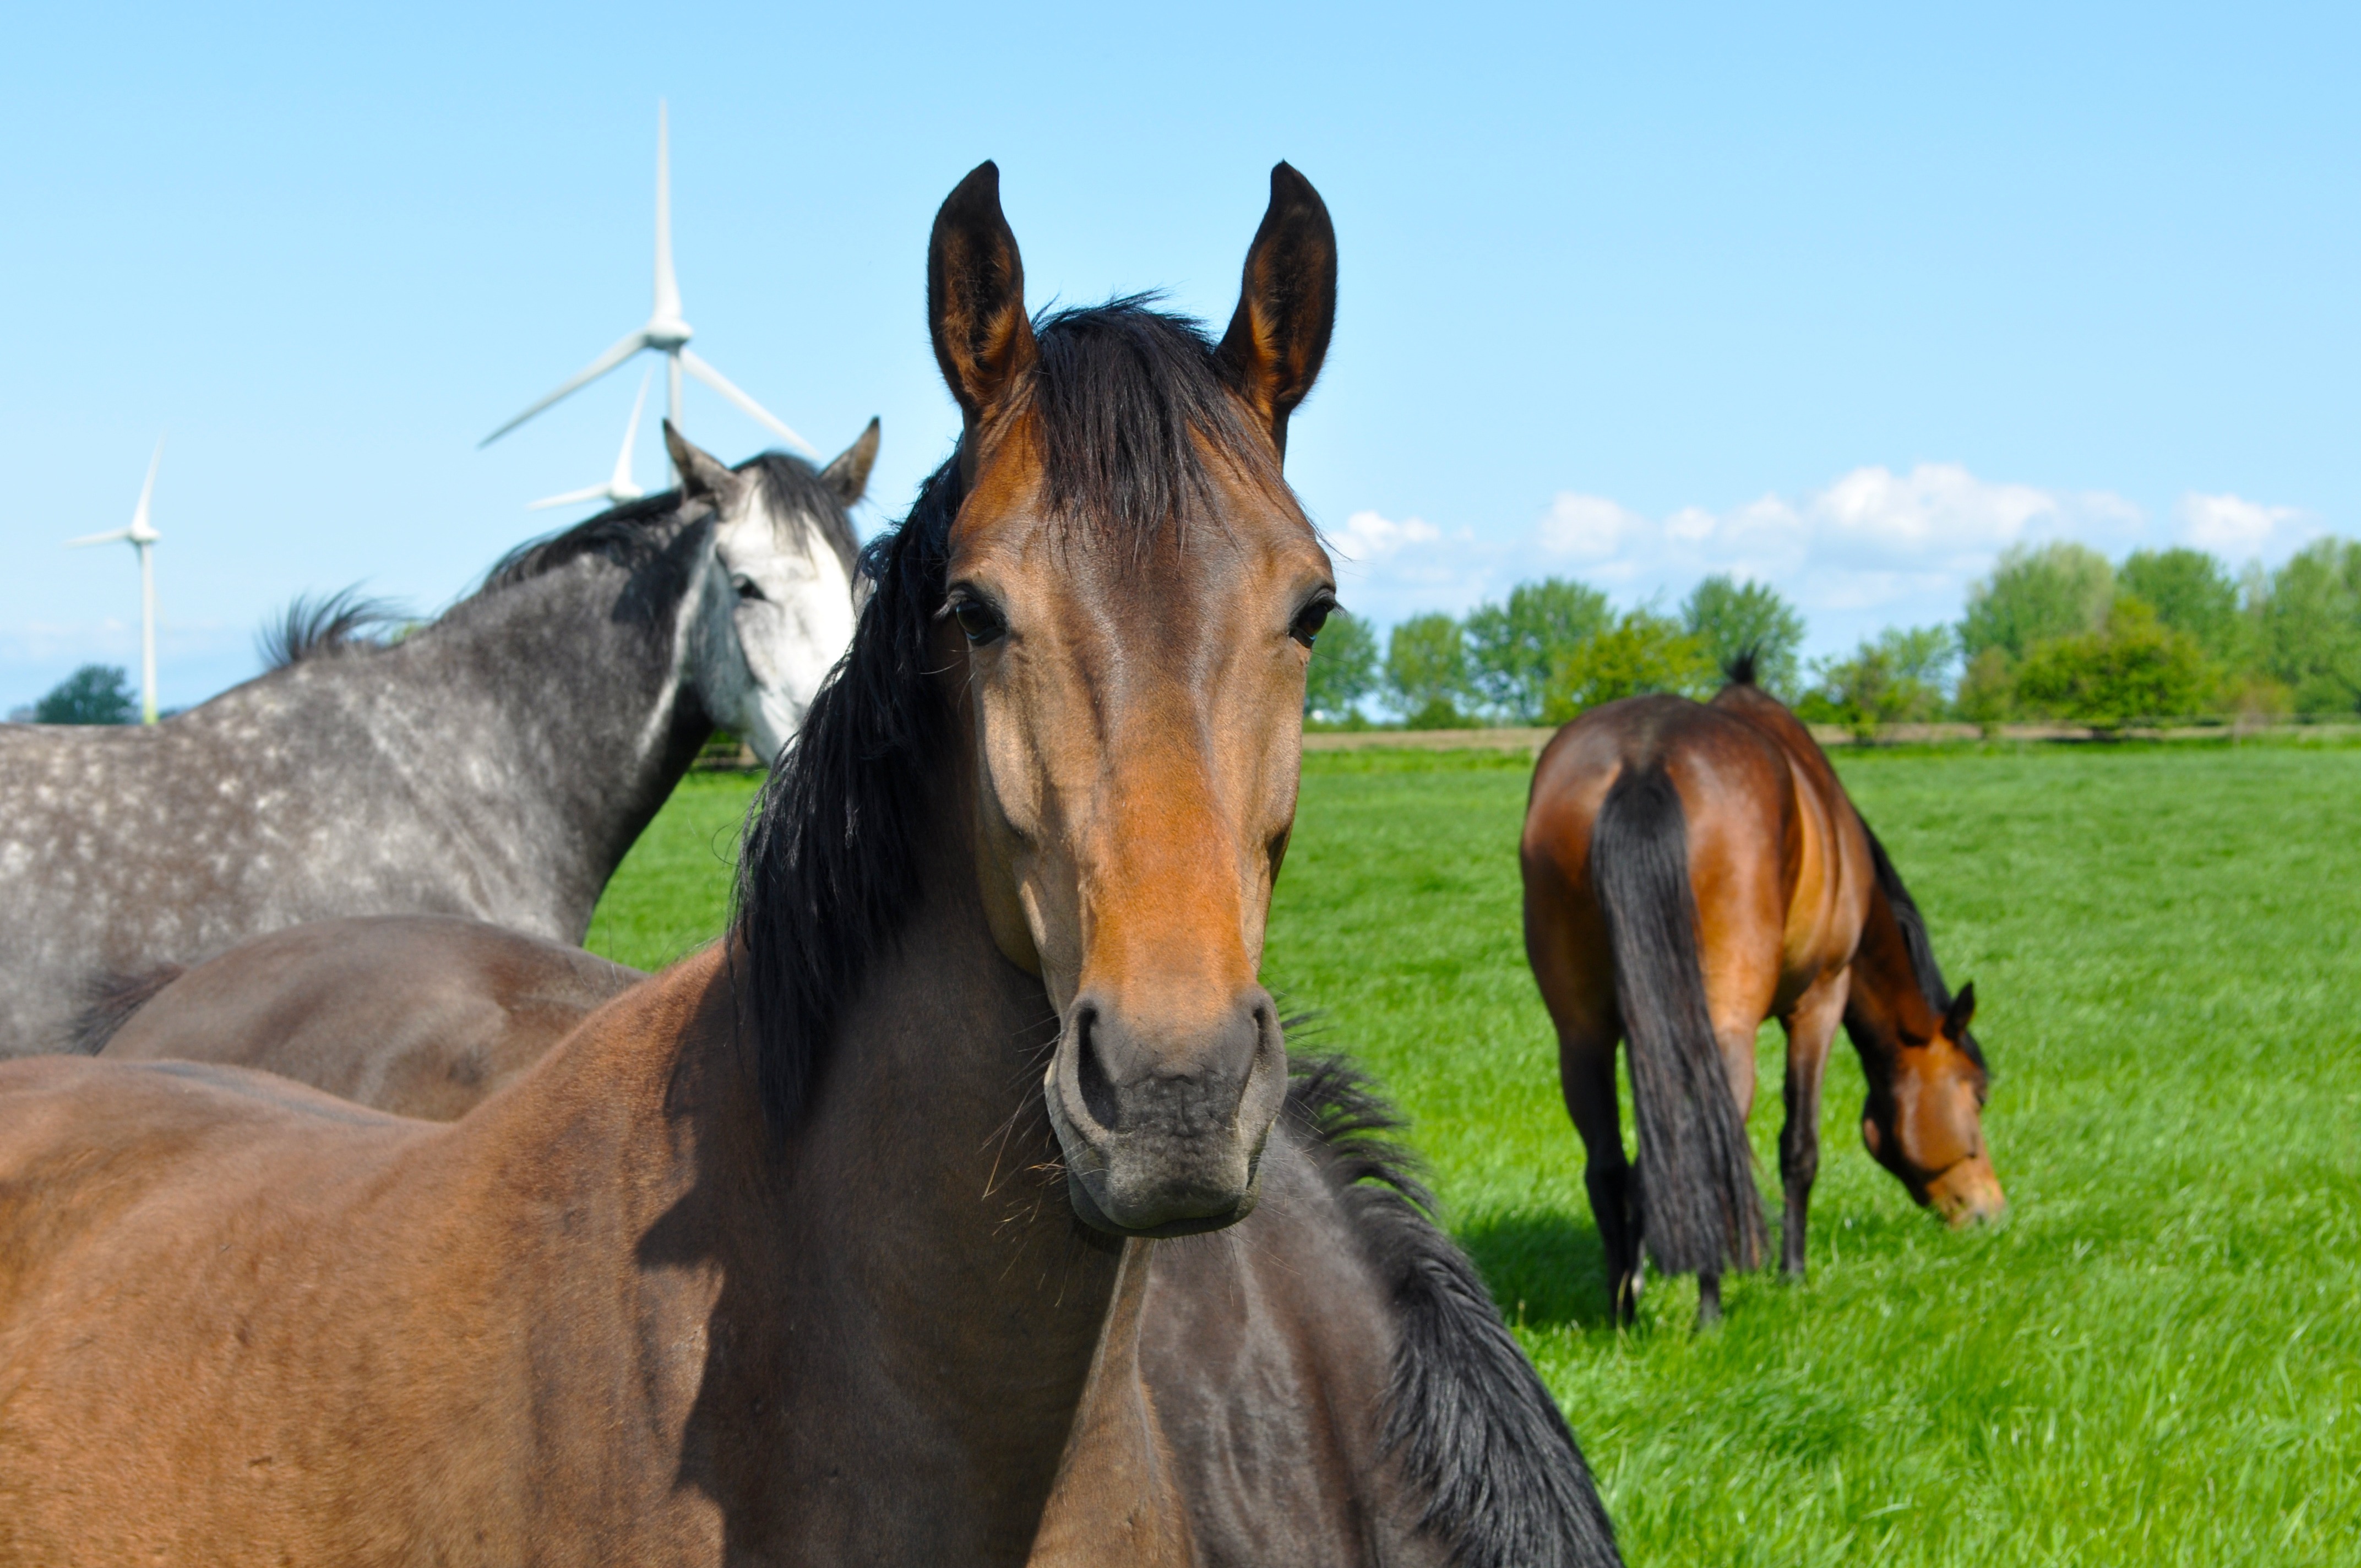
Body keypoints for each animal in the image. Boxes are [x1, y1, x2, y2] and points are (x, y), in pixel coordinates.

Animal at [1520, 660, 2004, 1326]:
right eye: (1977, 1094)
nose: (1990, 1210)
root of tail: (1642, 758)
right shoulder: (1820, 1001)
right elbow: (1799, 1145)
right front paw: (1792, 1274)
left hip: (1581, 1033)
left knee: (1610, 1166)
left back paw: (1624, 1312)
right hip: (1725, 1025)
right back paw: (1709, 1312)